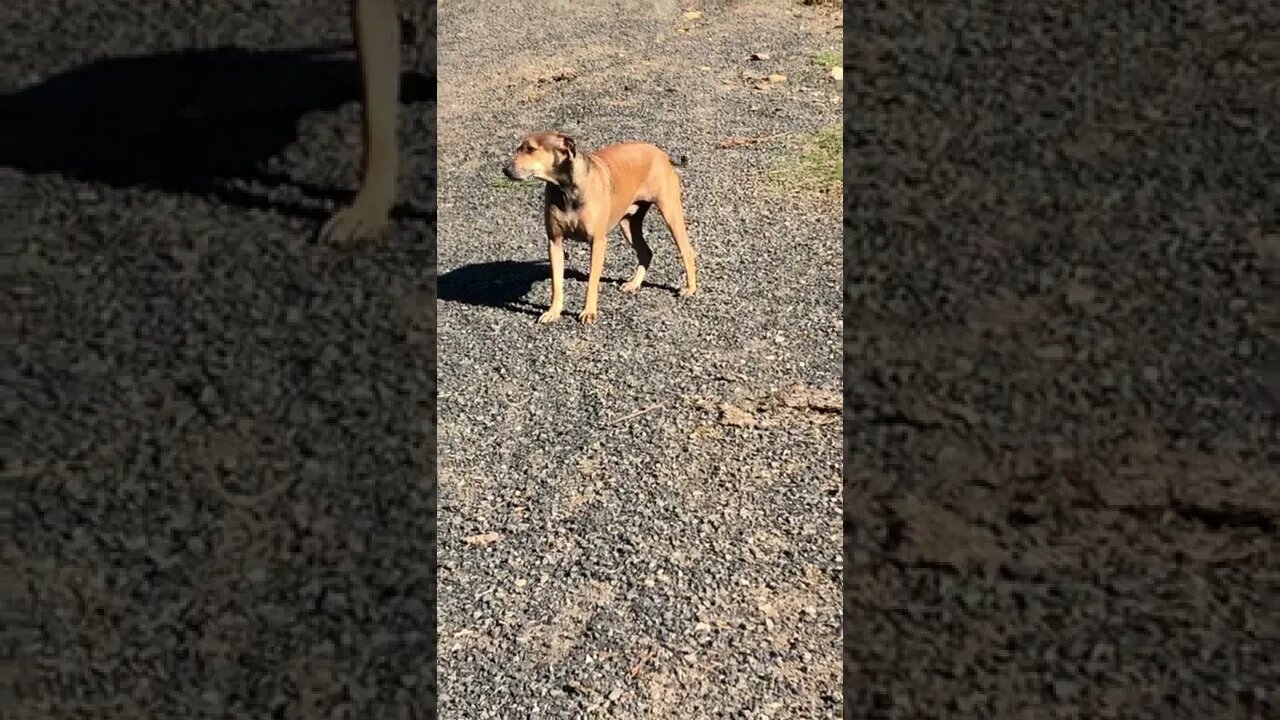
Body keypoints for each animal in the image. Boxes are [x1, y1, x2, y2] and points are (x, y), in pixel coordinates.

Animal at [501, 131, 701, 325]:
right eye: (519, 148)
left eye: (530, 149)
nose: (505, 169)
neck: (565, 189)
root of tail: (662, 154)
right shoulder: (555, 242)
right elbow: (556, 284)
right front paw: (553, 312)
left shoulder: (597, 242)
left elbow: (592, 281)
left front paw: (589, 313)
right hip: (628, 223)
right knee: (646, 252)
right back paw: (634, 284)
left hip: (670, 212)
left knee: (687, 250)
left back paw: (689, 288)